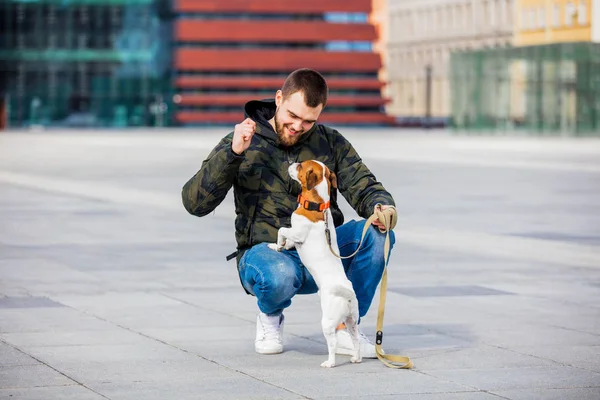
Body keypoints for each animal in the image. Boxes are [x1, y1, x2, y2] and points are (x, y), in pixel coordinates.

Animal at [268, 159, 360, 368]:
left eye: (300, 166)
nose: (291, 161)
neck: (316, 205)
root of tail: (348, 294)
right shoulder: (295, 237)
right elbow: (287, 241)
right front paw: (278, 246)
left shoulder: (296, 232)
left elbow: (282, 230)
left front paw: (278, 243)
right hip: (351, 320)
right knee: (355, 339)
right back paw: (356, 358)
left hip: (328, 322)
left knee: (333, 342)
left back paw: (330, 362)